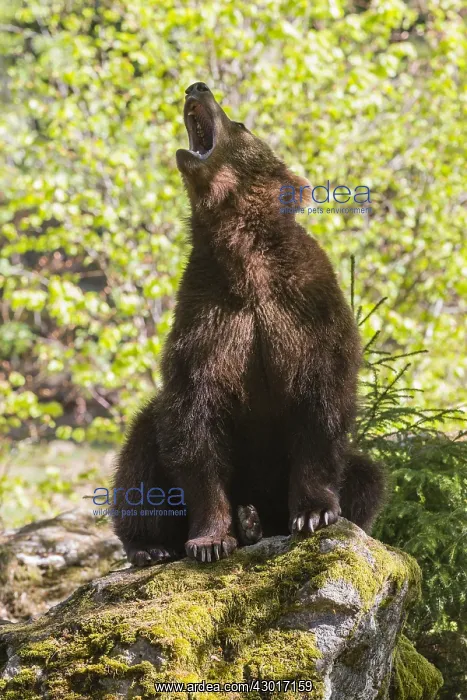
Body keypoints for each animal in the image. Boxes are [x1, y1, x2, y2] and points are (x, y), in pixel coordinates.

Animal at [112, 81, 385, 566]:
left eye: (240, 124)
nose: (197, 85)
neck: (243, 252)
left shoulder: (303, 309)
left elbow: (321, 406)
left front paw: (314, 513)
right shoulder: (209, 318)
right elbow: (193, 424)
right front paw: (210, 539)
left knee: (367, 475)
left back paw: (263, 522)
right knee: (140, 451)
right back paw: (154, 545)